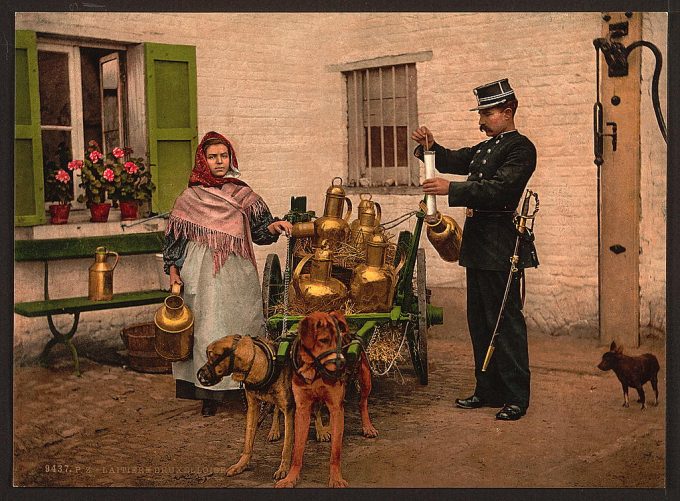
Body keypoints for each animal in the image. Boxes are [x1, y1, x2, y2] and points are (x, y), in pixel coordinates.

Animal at [274, 310, 378, 486]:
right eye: (323, 340)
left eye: (339, 340)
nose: (342, 363)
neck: (315, 369)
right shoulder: (302, 409)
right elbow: (297, 450)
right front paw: (291, 477)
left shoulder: (336, 407)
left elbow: (336, 451)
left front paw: (336, 478)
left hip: (365, 377)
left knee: (362, 402)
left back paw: (367, 426)